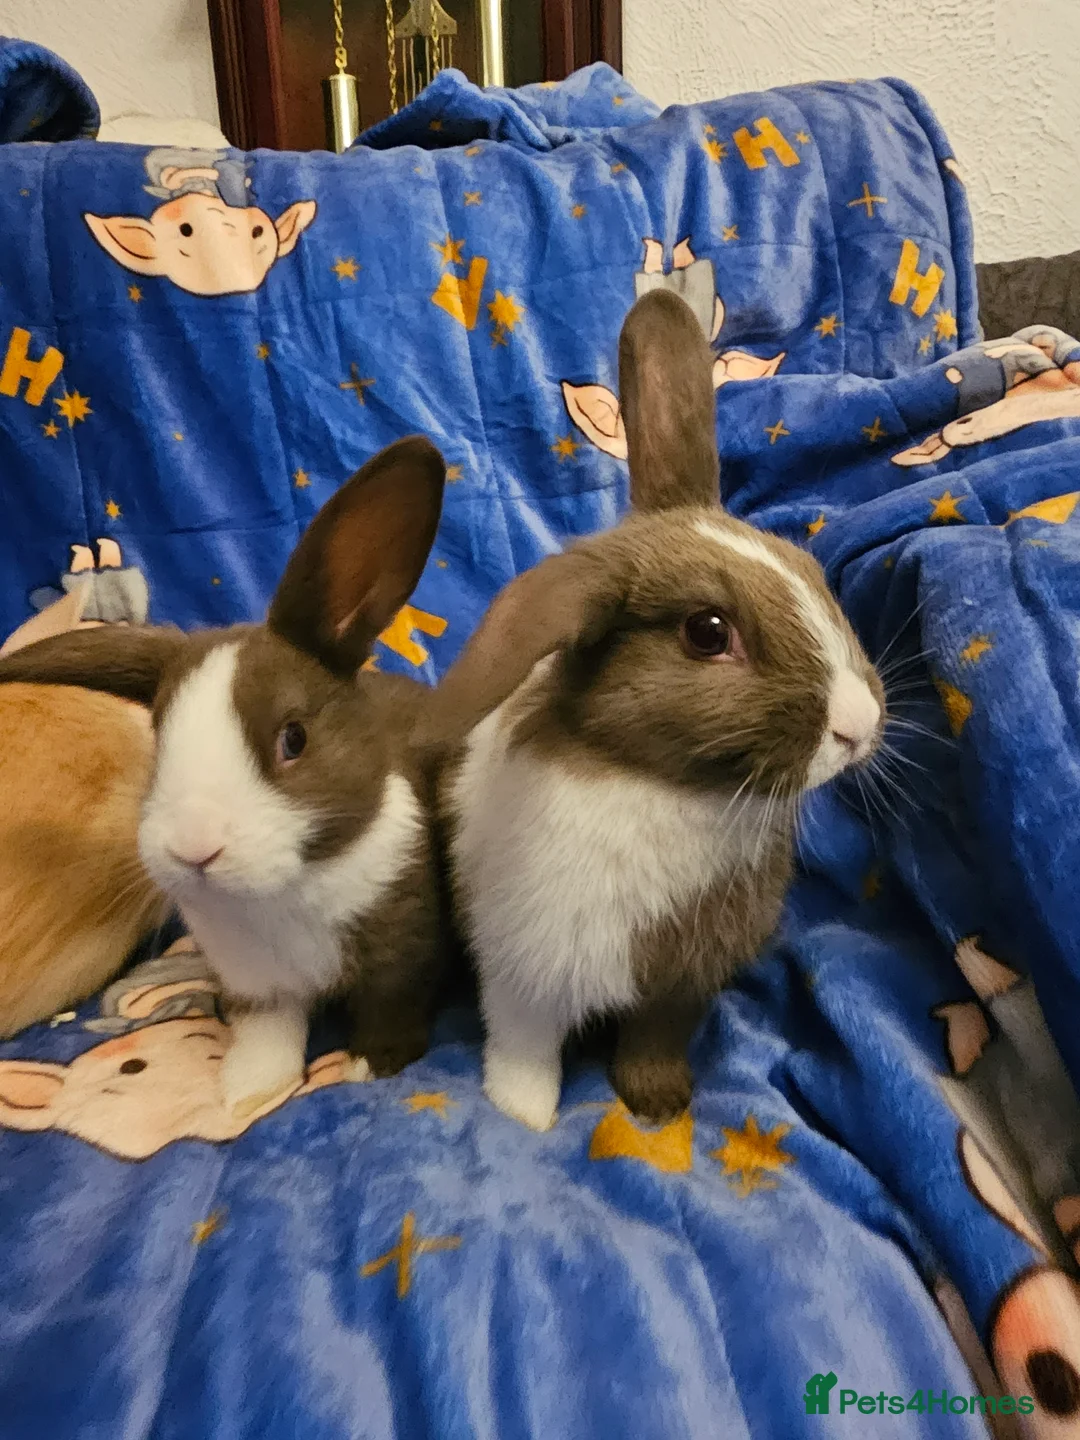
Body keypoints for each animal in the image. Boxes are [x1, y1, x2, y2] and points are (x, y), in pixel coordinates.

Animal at [0, 436, 449, 1118]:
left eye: (294, 739)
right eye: (158, 737)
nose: (194, 849)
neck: (283, 893)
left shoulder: (403, 956)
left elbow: (389, 1013)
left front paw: (363, 1067)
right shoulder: (255, 984)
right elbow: (266, 1033)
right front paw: (248, 1093)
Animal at [424, 290, 885, 1132]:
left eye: (811, 572)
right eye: (708, 631)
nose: (860, 726)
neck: (663, 788)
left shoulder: (681, 985)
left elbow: (654, 1042)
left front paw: (660, 1106)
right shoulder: (522, 975)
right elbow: (523, 1050)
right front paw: (524, 1118)